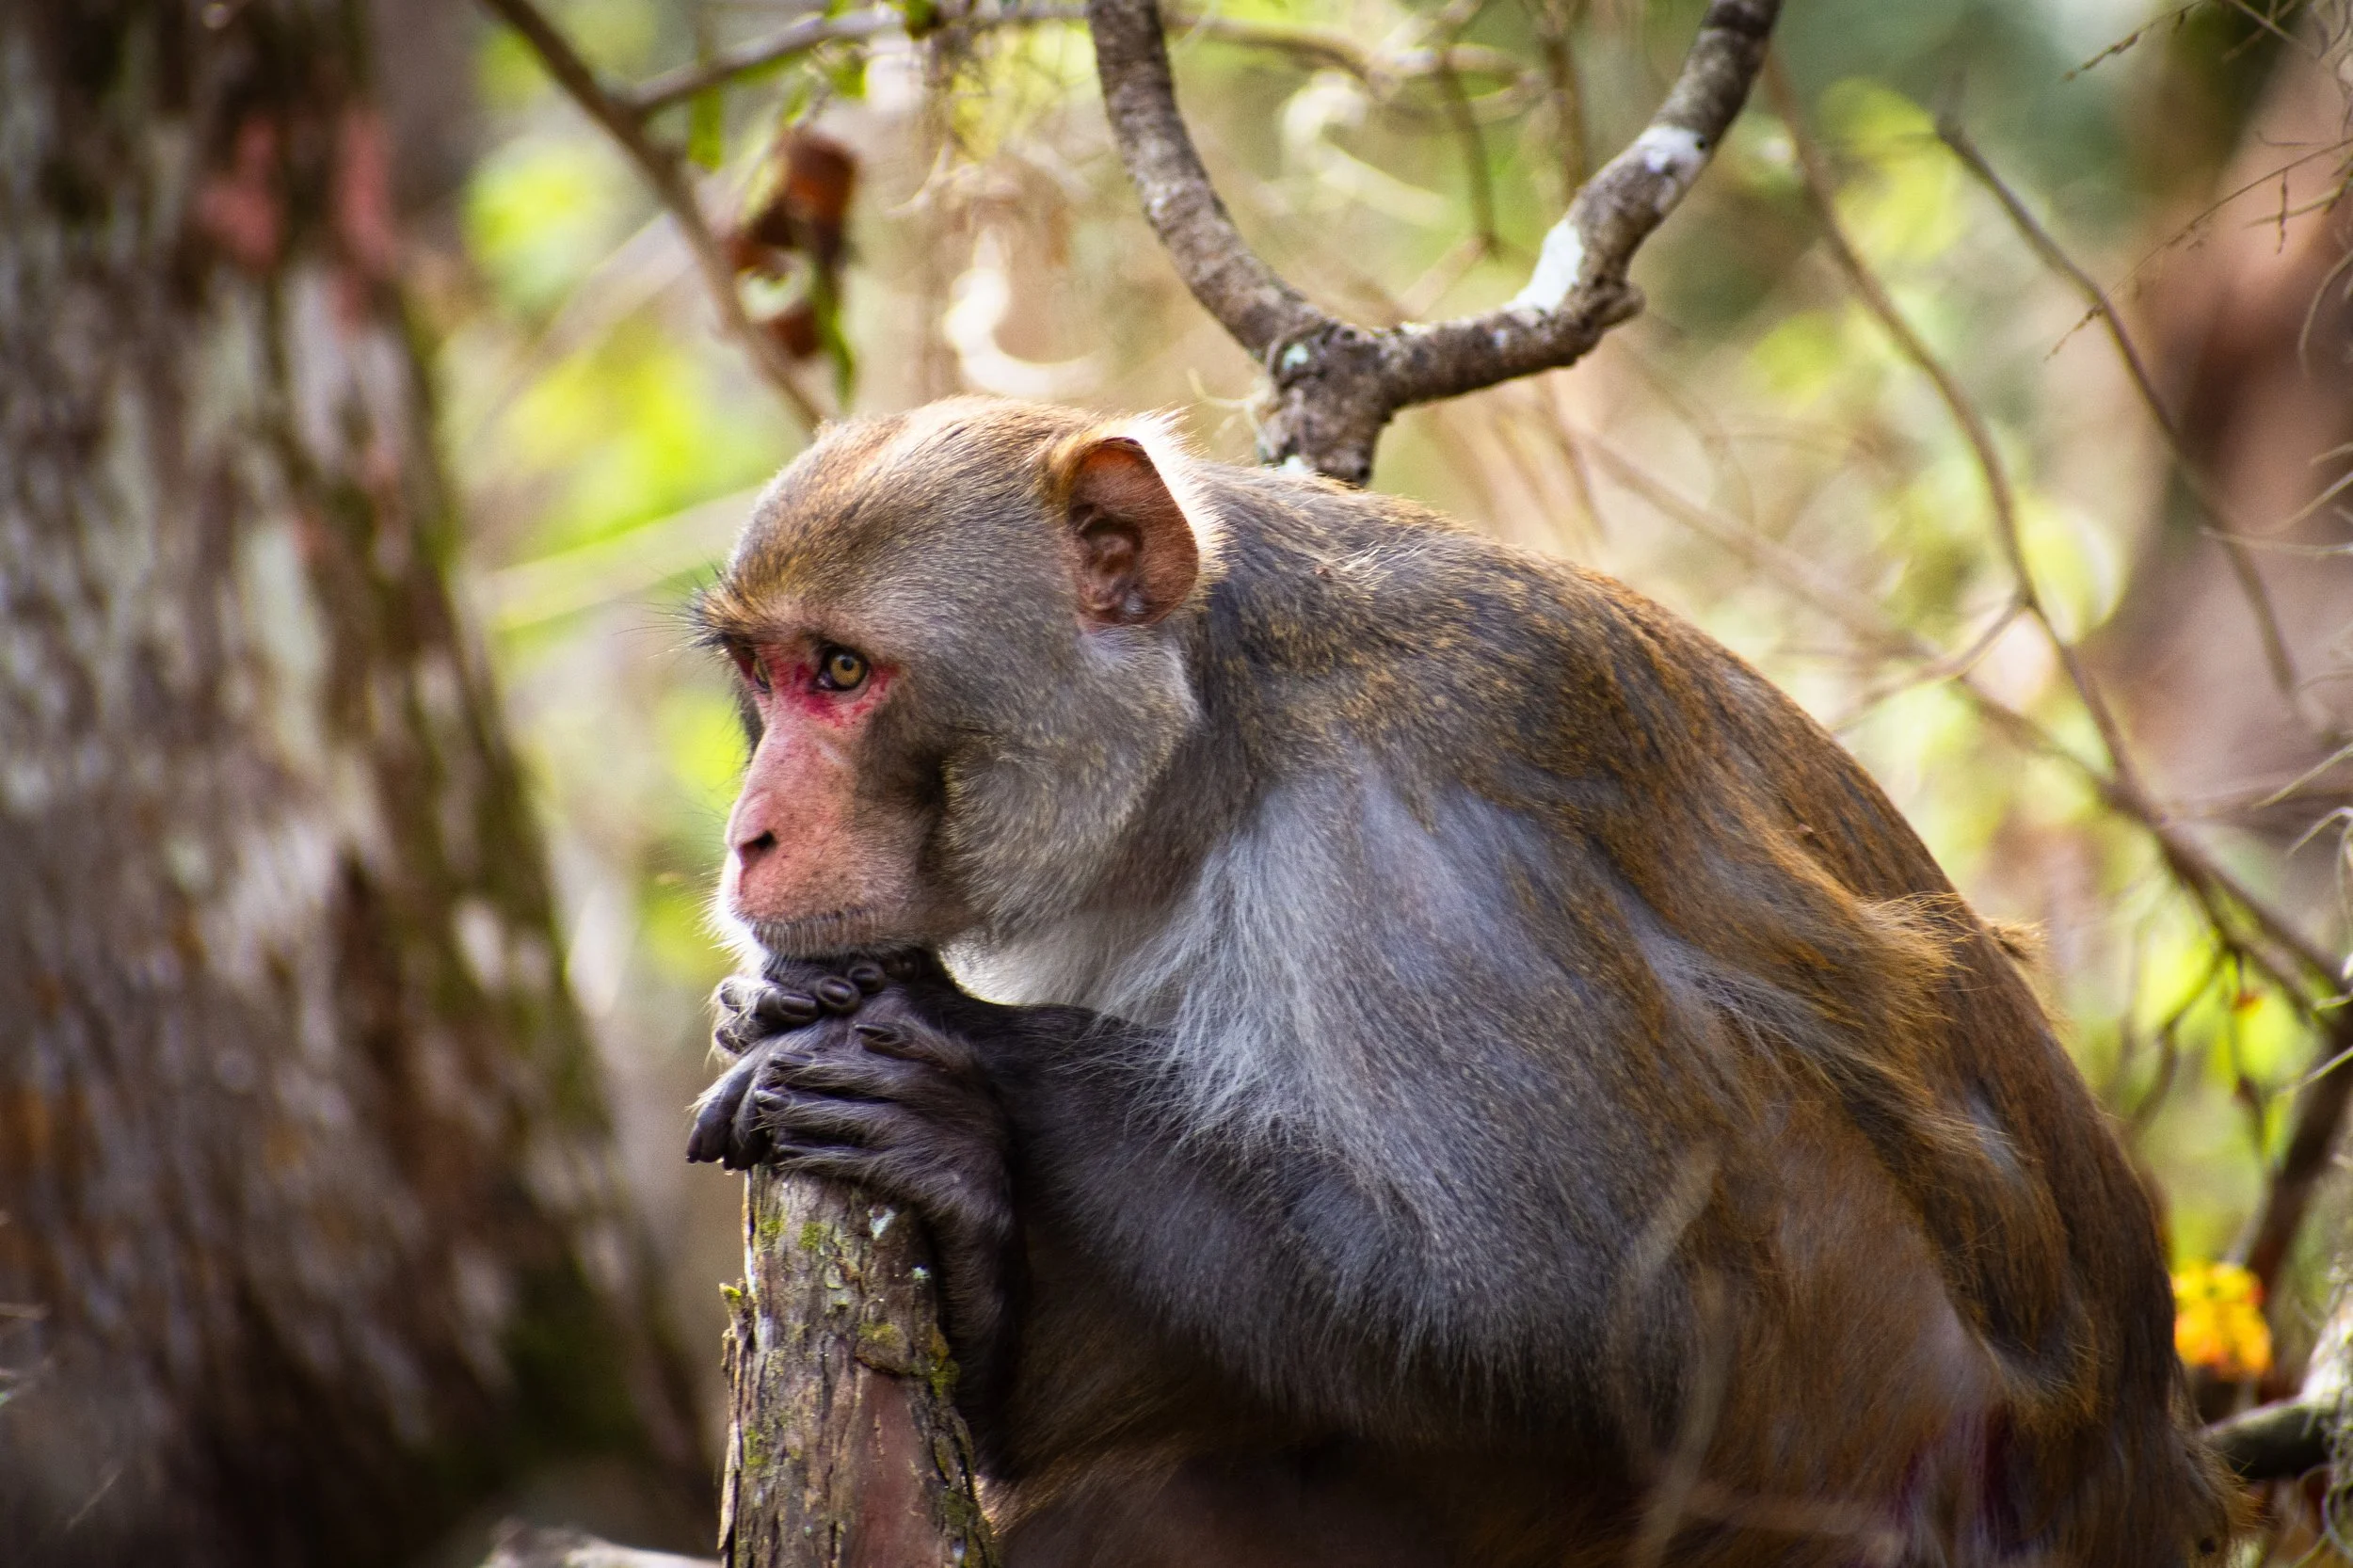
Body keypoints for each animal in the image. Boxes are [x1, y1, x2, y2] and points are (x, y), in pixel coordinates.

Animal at [684, 397, 2234, 1568]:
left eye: (844, 671)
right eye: (763, 672)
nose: (747, 832)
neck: (1212, 733)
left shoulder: (1415, 840)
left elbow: (1563, 1316)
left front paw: (969, 1060)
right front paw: (971, 1230)